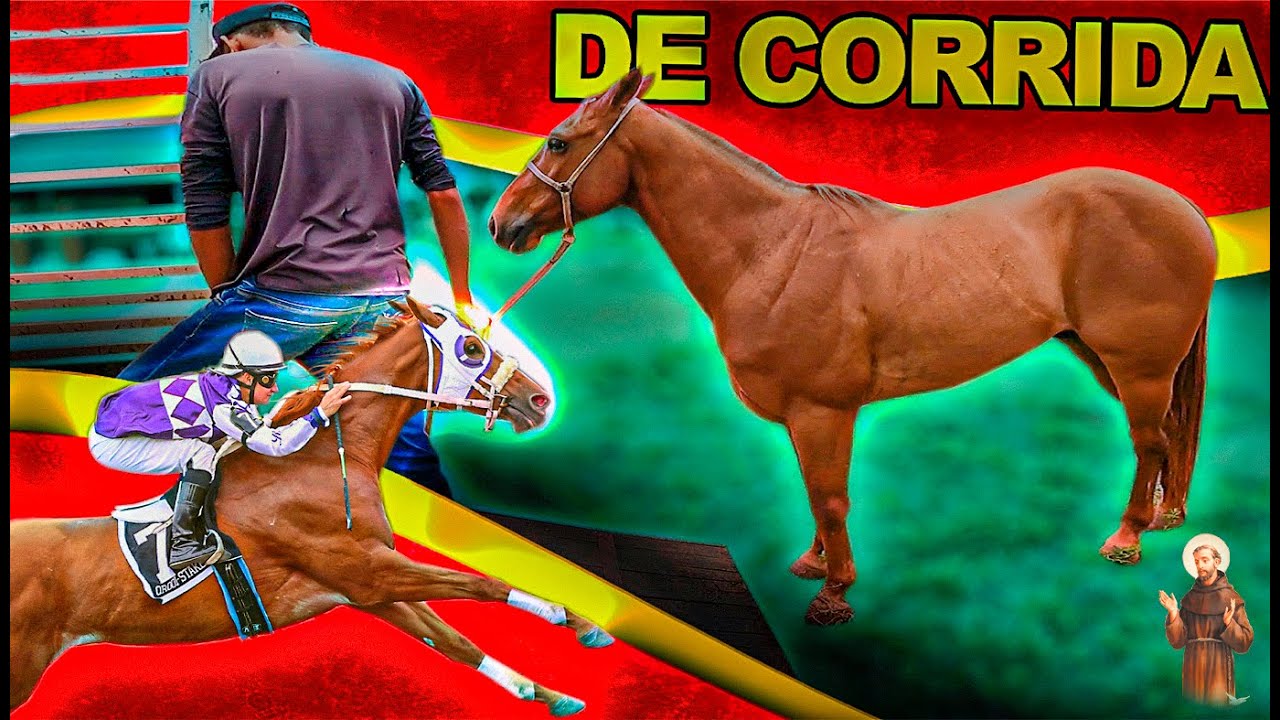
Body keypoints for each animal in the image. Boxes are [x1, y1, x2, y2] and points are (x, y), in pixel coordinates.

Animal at [10, 297, 610, 714]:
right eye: (472, 349)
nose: (539, 399)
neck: (319, 461)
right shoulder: (368, 569)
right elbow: (479, 584)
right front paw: (576, 620)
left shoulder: (367, 587)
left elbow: (452, 639)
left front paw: (547, 688)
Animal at [488, 69, 1216, 625]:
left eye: (558, 141)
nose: (501, 224)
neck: (773, 249)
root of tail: (1188, 211)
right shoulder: (806, 417)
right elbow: (815, 493)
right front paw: (814, 564)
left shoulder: (823, 410)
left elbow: (831, 497)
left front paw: (834, 596)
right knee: (1164, 444)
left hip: (1140, 369)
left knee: (1150, 443)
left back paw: (1125, 539)